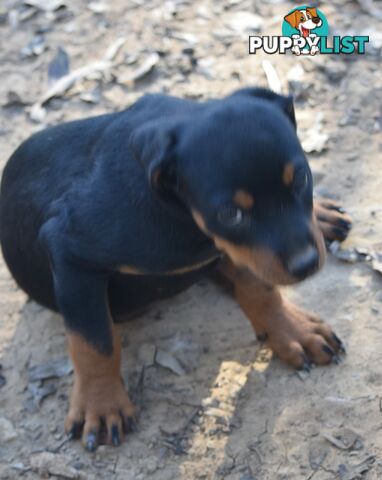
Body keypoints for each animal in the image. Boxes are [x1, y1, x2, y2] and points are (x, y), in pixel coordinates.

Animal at [0, 88, 352, 452]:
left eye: (302, 179)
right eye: (231, 214)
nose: (306, 264)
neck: (177, 208)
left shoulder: (241, 250)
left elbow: (261, 289)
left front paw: (291, 330)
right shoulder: (70, 252)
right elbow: (94, 342)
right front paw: (101, 404)